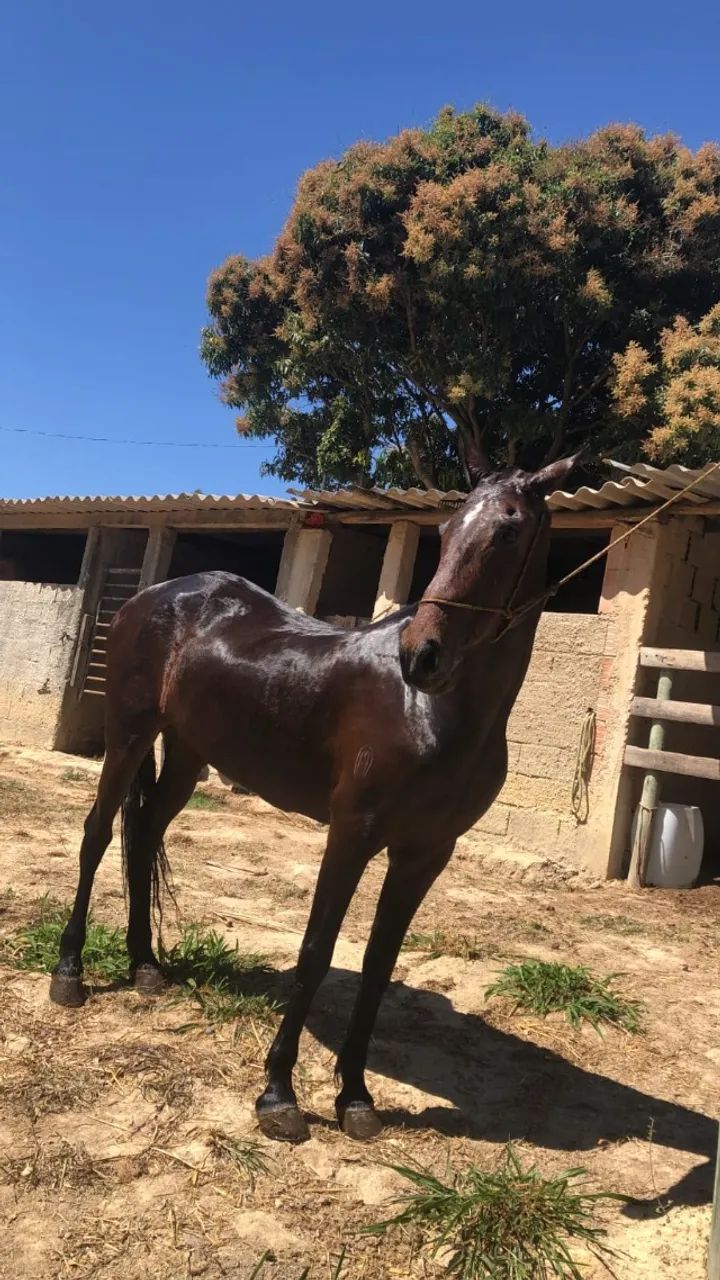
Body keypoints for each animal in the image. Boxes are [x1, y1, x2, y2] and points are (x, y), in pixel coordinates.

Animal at [50, 455, 576, 1143]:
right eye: (445, 529)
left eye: (508, 532)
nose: (422, 655)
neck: (435, 711)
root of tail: (153, 596)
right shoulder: (352, 832)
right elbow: (317, 949)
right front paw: (278, 1094)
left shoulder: (425, 854)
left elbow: (379, 965)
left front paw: (355, 1096)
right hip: (129, 734)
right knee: (97, 834)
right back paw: (68, 974)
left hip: (187, 754)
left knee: (143, 838)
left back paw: (145, 967)